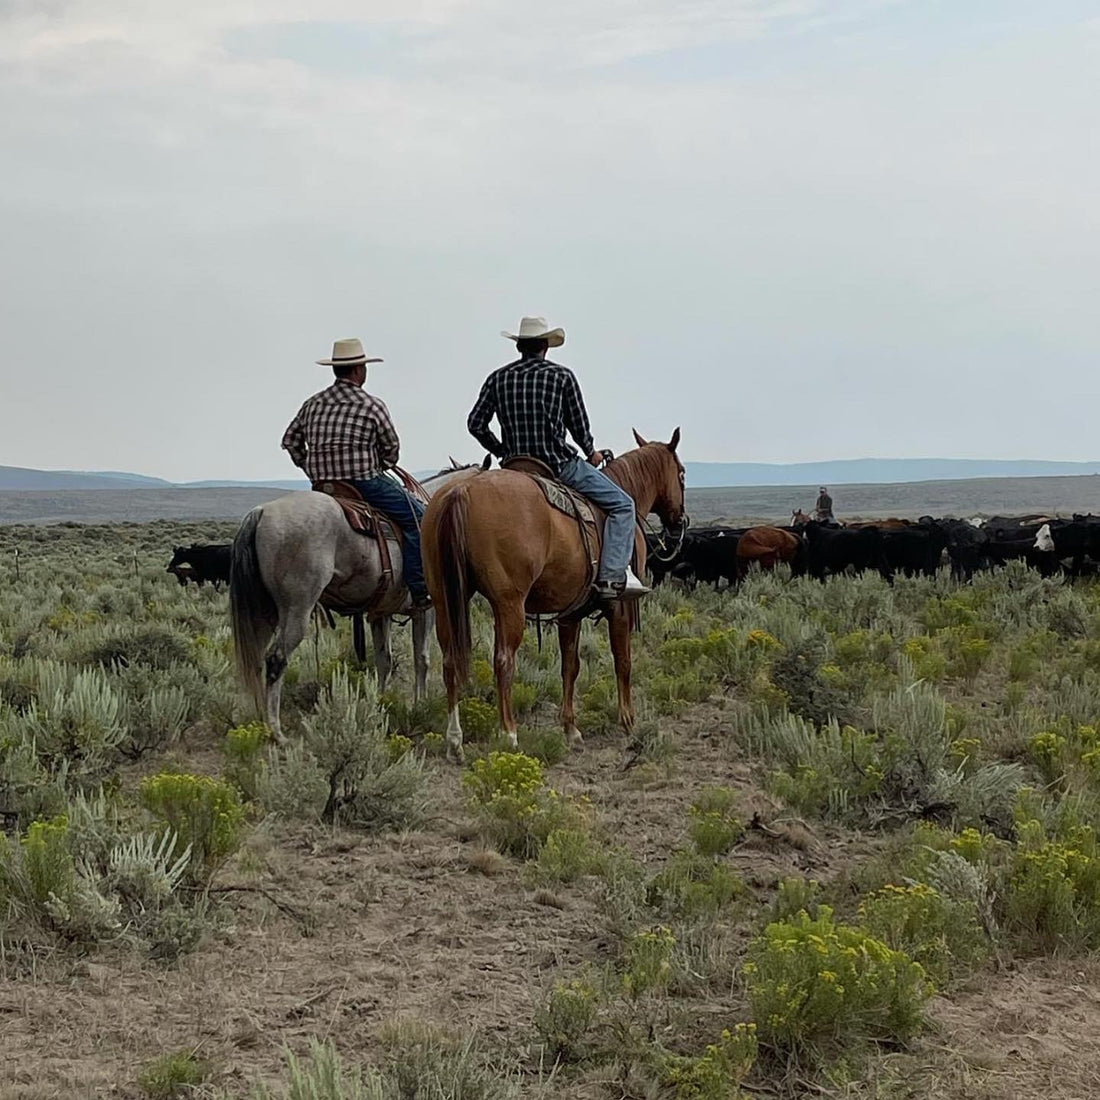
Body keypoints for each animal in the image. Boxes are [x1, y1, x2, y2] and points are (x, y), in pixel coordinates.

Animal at [229, 457, 484, 739]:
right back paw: (277, 731)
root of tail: (262, 512)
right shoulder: (425, 610)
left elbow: (384, 661)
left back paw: (258, 718)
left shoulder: (381, 613)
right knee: (276, 659)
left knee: (255, 660)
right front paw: (420, 704)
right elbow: (422, 660)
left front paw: (380, 703)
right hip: (296, 610)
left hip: (264, 613)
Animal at [422, 433, 686, 761]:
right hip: (509, 604)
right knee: (503, 661)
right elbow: (623, 661)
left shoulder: (569, 614)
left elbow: (569, 667)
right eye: (682, 474)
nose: (680, 523)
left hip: (444, 600)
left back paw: (454, 740)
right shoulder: (621, 607)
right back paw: (509, 734)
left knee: (449, 661)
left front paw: (571, 729)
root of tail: (461, 491)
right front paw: (628, 721)